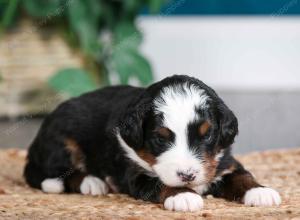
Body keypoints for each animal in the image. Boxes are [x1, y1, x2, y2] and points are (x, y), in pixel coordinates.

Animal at [24, 75, 282, 211]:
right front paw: (183, 196)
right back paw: (92, 182)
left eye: (207, 135)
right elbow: (159, 183)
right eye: (160, 138)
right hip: (62, 141)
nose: (187, 176)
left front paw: (260, 192)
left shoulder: (224, 161)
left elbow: (241, 176)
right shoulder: (136, 174)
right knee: (57, 173)